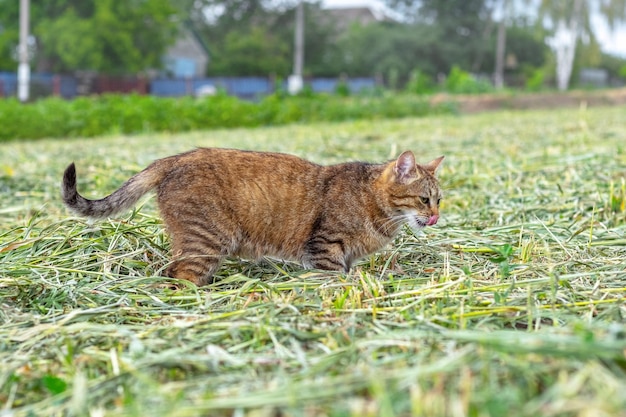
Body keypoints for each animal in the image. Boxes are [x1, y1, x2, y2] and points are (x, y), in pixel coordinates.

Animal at [61, 147, 442, 286]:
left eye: (440, 200)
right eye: (424, 200)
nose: (436, 218)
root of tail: (176, 157)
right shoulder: (325, 247)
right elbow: (334, 277)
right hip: (206, 239)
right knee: (179, 274)